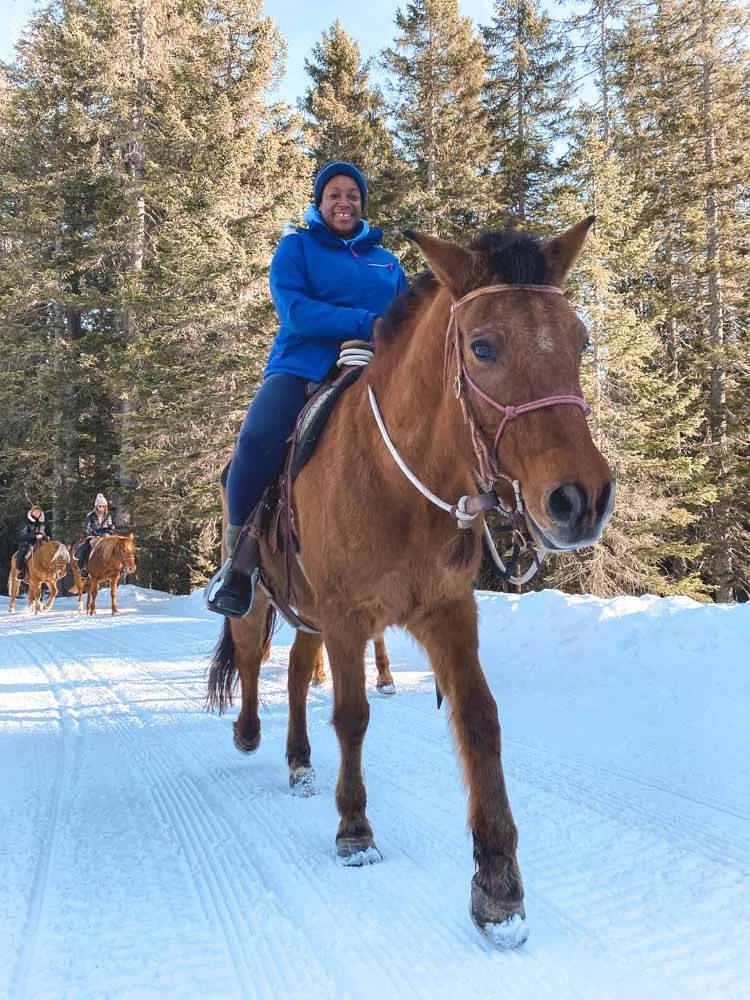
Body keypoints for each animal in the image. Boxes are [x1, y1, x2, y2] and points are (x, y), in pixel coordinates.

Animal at [207, 217, 616, 944]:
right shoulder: (347, 616)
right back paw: (252, 733)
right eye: (482, 347)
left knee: (295, 674)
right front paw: (354, 828)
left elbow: (479, 719)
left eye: (579, 340)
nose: (582, 498)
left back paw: (299, 760)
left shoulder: (447, 611)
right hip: (260, 598)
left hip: (310, 614)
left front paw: (498, 884)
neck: (399, 482)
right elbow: (352, 715)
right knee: (253, 660)